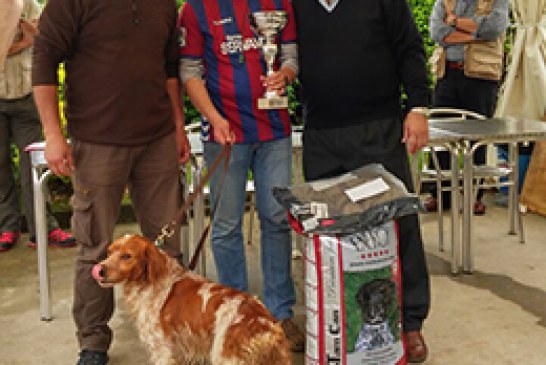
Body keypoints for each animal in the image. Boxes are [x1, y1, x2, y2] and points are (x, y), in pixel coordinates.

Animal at [91, 235, 292, 362]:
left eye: (127, 256)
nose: (100, 270)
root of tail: (264, 325)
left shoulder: (163, 352)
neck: (149, 282)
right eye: (109, 252)